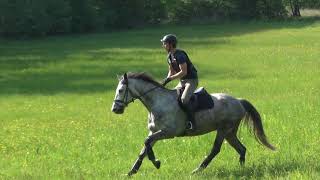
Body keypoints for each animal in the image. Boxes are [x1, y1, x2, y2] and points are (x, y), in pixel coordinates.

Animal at [110, 71, 276, 176]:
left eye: (121, 90)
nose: (115, 109)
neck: (157, 102)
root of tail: (239, 101)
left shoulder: (168, 133)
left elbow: (147, 142)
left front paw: (156, 162)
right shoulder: (154, 131)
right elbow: (144, 149)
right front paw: (131, 172)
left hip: (223, 129)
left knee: (216, 149)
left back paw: (197, 170)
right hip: (230, 132)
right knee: (241, 149)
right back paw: (241, 169)